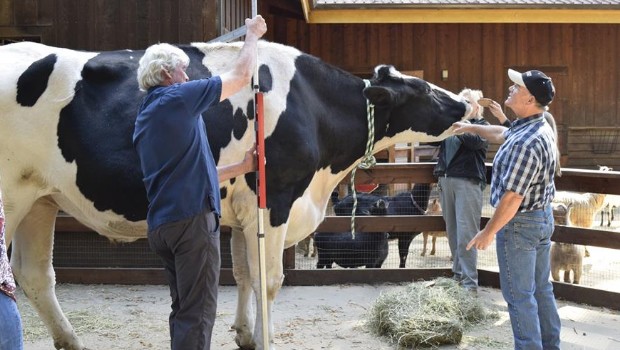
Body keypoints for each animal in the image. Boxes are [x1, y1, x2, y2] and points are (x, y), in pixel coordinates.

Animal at [0, 39, 470, 348]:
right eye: (425, 90)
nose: (467, 102)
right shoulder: (275, 202)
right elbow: (270, 279)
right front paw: (265, 338)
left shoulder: (244, 212)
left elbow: (244, 274)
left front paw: (246, 334)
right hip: (11, 197)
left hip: (39, 200)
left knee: (34, 276)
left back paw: (71, 341)